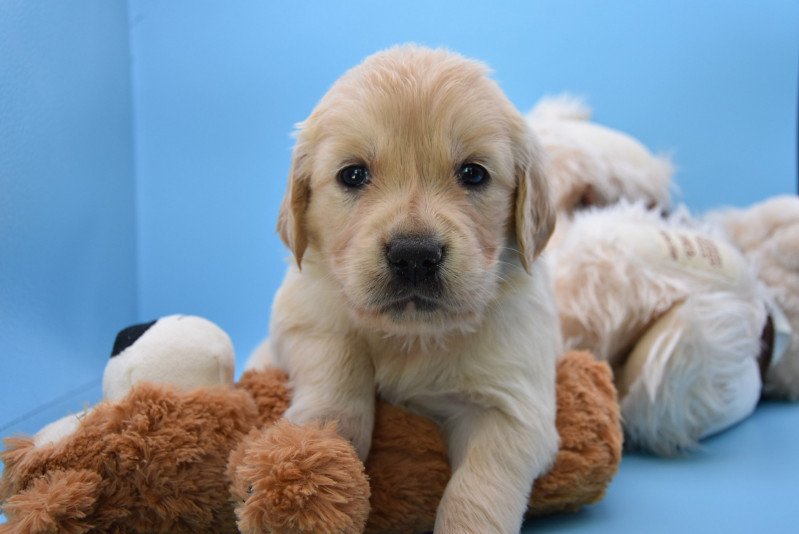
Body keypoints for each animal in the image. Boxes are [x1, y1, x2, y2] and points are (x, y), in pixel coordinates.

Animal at [247, 45, 560, 532]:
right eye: (353, 175)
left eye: (474, 174)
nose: (414, 255)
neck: (413, 336)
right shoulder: (301, 314)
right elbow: (338, 355)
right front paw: (321, 448)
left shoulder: (515, 406)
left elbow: (479, 488)